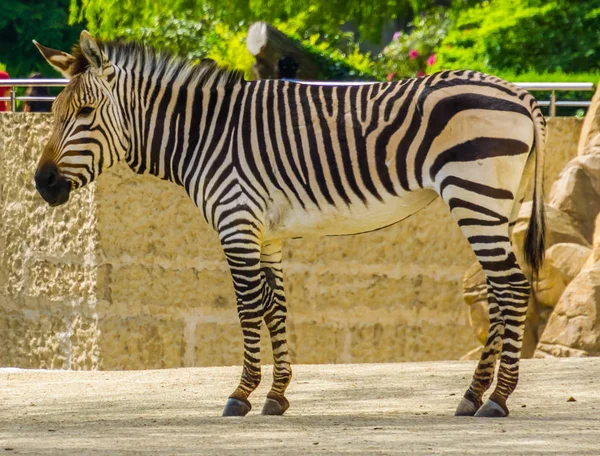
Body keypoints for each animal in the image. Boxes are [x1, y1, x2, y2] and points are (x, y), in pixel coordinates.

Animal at [34, 30, 544, 418]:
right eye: (53, 113)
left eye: (85, 113)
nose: (42, 183)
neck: (203, 136)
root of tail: (518, 93)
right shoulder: (267, 235)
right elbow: (275, 308)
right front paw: (276, 396)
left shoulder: (236, 223)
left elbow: (247, 309)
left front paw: (240, 395)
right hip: (492, 202)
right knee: (496, 291)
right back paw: (473, 395)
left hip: (473, 193)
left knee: (513, 287)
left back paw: (497, 399)